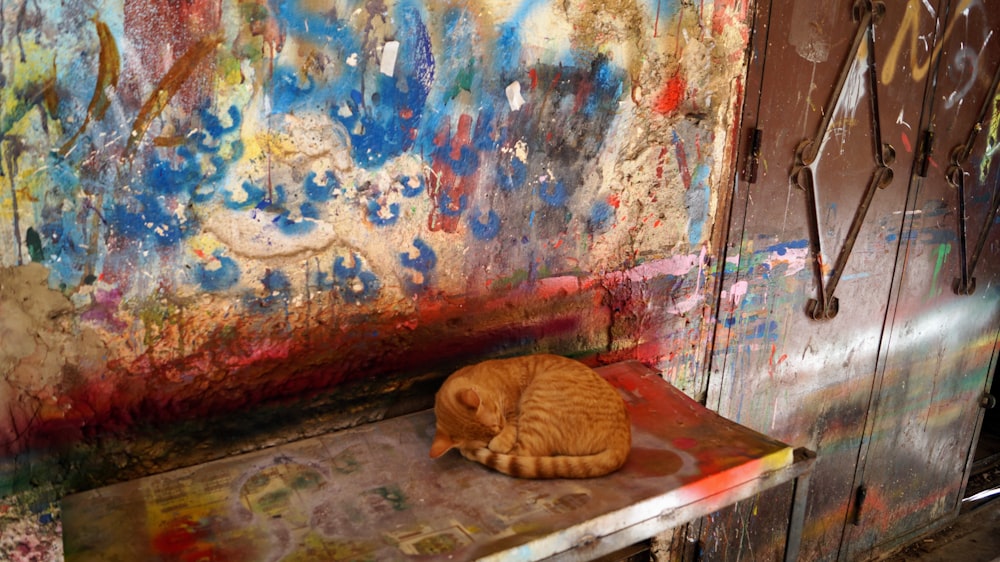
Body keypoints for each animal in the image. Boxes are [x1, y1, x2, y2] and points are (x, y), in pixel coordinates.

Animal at [428, 350, 628, 476]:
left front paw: (500, 439)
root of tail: (623, 440)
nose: (498, 431)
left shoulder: (512, 411)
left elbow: (511, 425)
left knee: (523, 454)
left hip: (538, 397)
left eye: (498, 421)